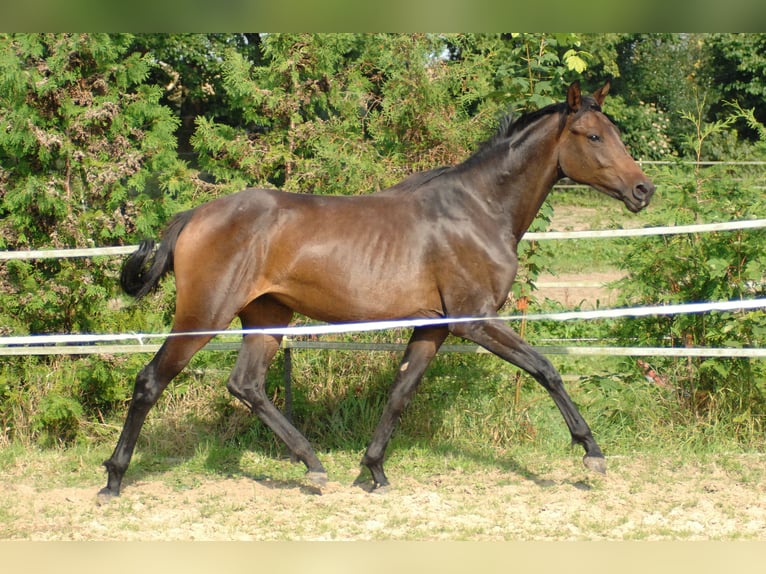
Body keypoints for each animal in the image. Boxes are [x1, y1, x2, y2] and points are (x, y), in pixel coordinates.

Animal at [100, 81, 656, 500]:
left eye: (613, 132)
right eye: (592, 135)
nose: (643, 190)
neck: (478, 210)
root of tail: (195, 214)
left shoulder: (434, 326)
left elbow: (400, 393)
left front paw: (374, 470)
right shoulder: (474, 319)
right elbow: (546, 368)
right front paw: (592, 454)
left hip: (267, 316)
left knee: (246, 385)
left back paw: (313, 465)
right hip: (204, 315)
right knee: (150, 381)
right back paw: (113, 479)